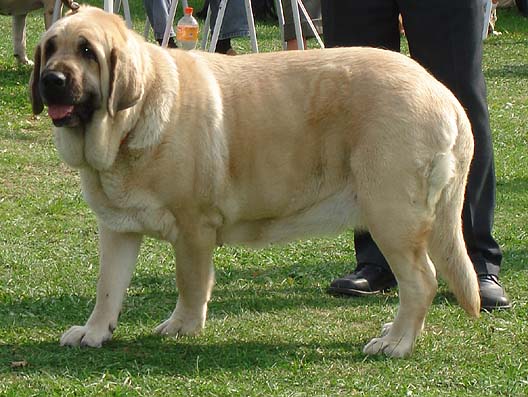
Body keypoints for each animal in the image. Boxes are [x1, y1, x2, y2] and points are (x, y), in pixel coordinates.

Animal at [29, 6, 482, 358]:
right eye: (50, 49)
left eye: (87, 51)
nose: (51, 80)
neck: (131, 122)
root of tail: (443, 94)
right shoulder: (118, 229)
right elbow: (108, 286)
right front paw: (93, 332)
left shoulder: (193, 229)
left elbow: (189, 283)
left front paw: (182, 326)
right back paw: (395, 333)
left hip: (390, 216)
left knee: (421, 281)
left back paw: (397, 343)